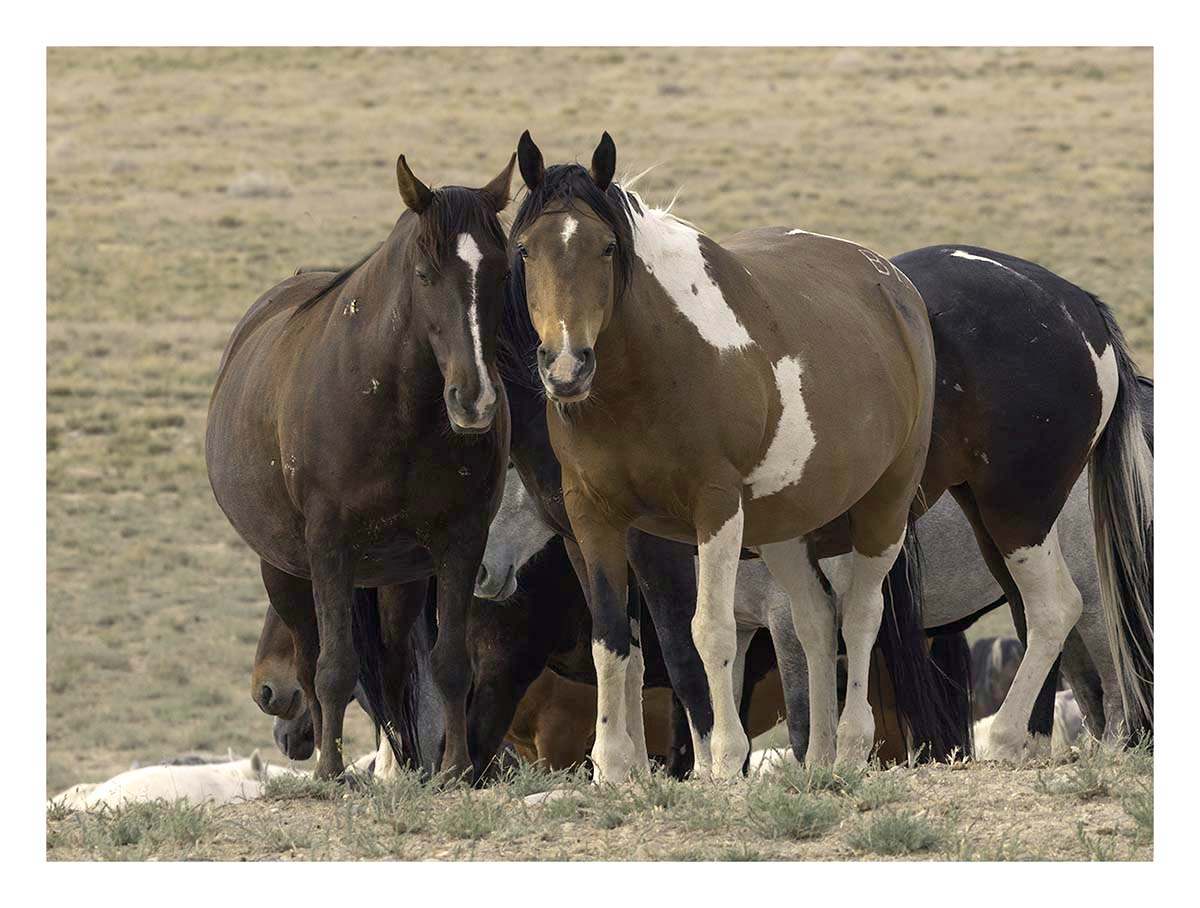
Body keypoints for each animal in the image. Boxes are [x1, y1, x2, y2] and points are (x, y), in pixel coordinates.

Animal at [206, 151, 517, 780]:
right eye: (424, 275)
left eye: (500, 272)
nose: (474, 400)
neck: (393, 407)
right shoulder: (329, 545)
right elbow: (333, 668)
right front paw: (331, 771)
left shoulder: (459, 540)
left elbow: (448, 663)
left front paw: (454, 770)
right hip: (286, 570)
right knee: (310, 661)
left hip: (397, 576)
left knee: (396, 668)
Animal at [509, 132, 938, 780]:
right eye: (526, 250)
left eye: (606, 246)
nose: (566, 367)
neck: (653, 366)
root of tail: (895, 287)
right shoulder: (593, 515)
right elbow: (611, 640)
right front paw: (612, 767)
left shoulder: (714, 509)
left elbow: (709, 632)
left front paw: (725, 762)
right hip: (785, 525)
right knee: (816, 620)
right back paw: (818, 760)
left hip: (884, 505)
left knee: (861, 614)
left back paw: (850, 748)